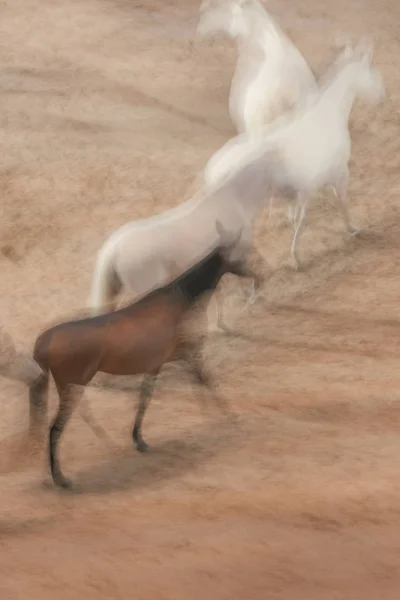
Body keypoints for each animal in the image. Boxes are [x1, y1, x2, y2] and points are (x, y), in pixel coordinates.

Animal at [28, 223, 255, 490]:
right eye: (240, 253)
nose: (256, 271)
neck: (180, 299)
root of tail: (44, 341)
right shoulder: (189, 354)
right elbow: (206, 381)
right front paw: (226, 416)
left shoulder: (156, 365)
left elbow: (145, 399)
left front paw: (139, 440)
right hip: (72, 385)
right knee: (55, 428)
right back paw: (61, 478)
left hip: (70, 386)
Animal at [200, 41, 384, 266]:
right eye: (373, 74)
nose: (382, 98)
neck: (327, 116)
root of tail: (214, 171)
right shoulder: (336, 176)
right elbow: (338, 205)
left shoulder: (304, 188)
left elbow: (298, 217)